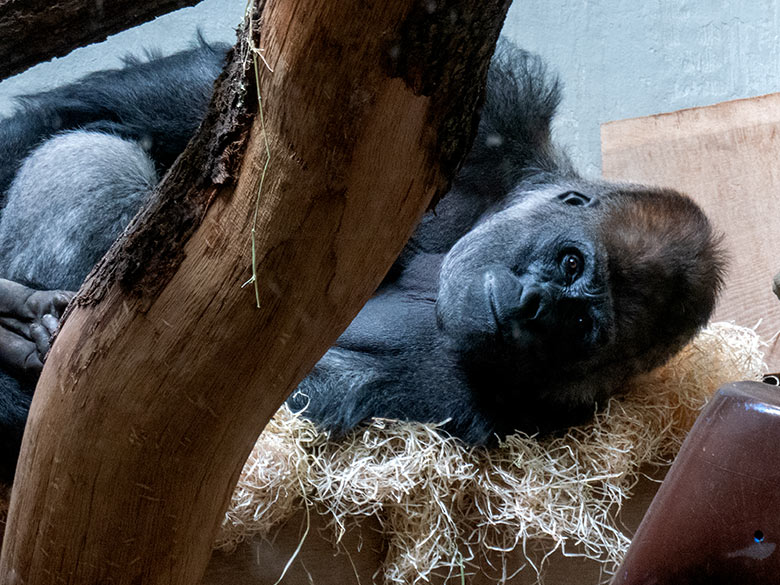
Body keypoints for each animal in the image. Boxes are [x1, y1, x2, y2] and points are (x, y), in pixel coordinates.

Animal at [0, 37, 724, 480]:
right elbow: (140, 105)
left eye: (579, 327)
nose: (534, 304)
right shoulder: (500, 105)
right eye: (571, 263)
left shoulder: (493, 407)